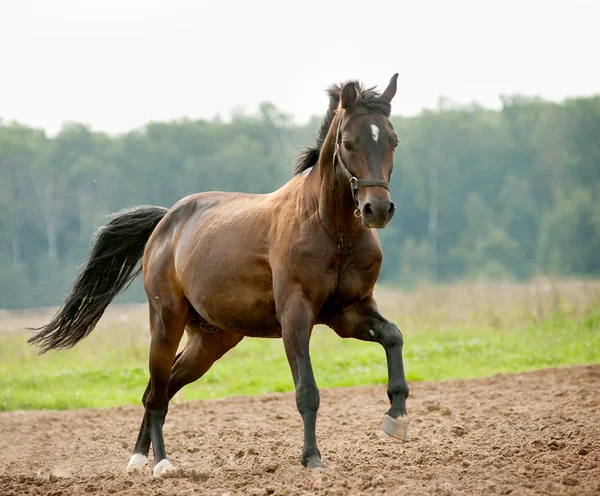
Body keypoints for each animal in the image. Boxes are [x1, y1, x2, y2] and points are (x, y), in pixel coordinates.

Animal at [30, 74, 410, 476]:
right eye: (349, 142)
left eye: (392, 140)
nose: (377, 209)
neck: (330, 228)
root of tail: (166, 222)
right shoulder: (296, 316)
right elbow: (306, 390)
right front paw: (312, 459)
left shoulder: (349, 312)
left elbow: (393, 336)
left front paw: (396, 417)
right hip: (166, 321)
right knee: (156, 393)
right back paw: (159, 464)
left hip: (212, 340)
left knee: (161, 388)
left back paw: (139, 459)